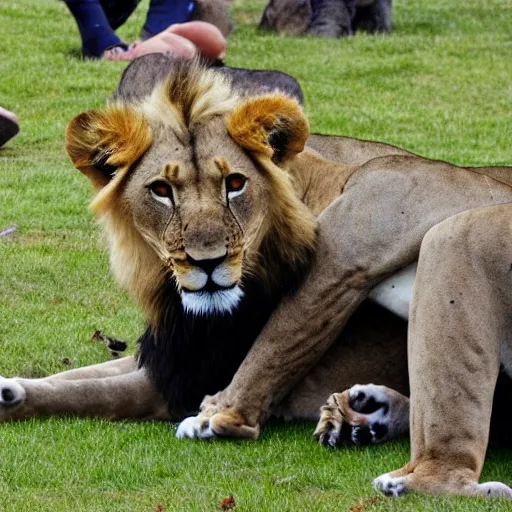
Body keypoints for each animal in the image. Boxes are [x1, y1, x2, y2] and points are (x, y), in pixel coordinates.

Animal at [1, 59, 512, 496]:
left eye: (235, 184)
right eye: (162, 191)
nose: (207, 262)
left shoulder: (347, 251)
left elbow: (99, 391)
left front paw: (220, 417)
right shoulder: (169, 355)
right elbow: (77, 377)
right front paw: (11, 388)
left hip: (455, 237)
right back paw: (363, 417)